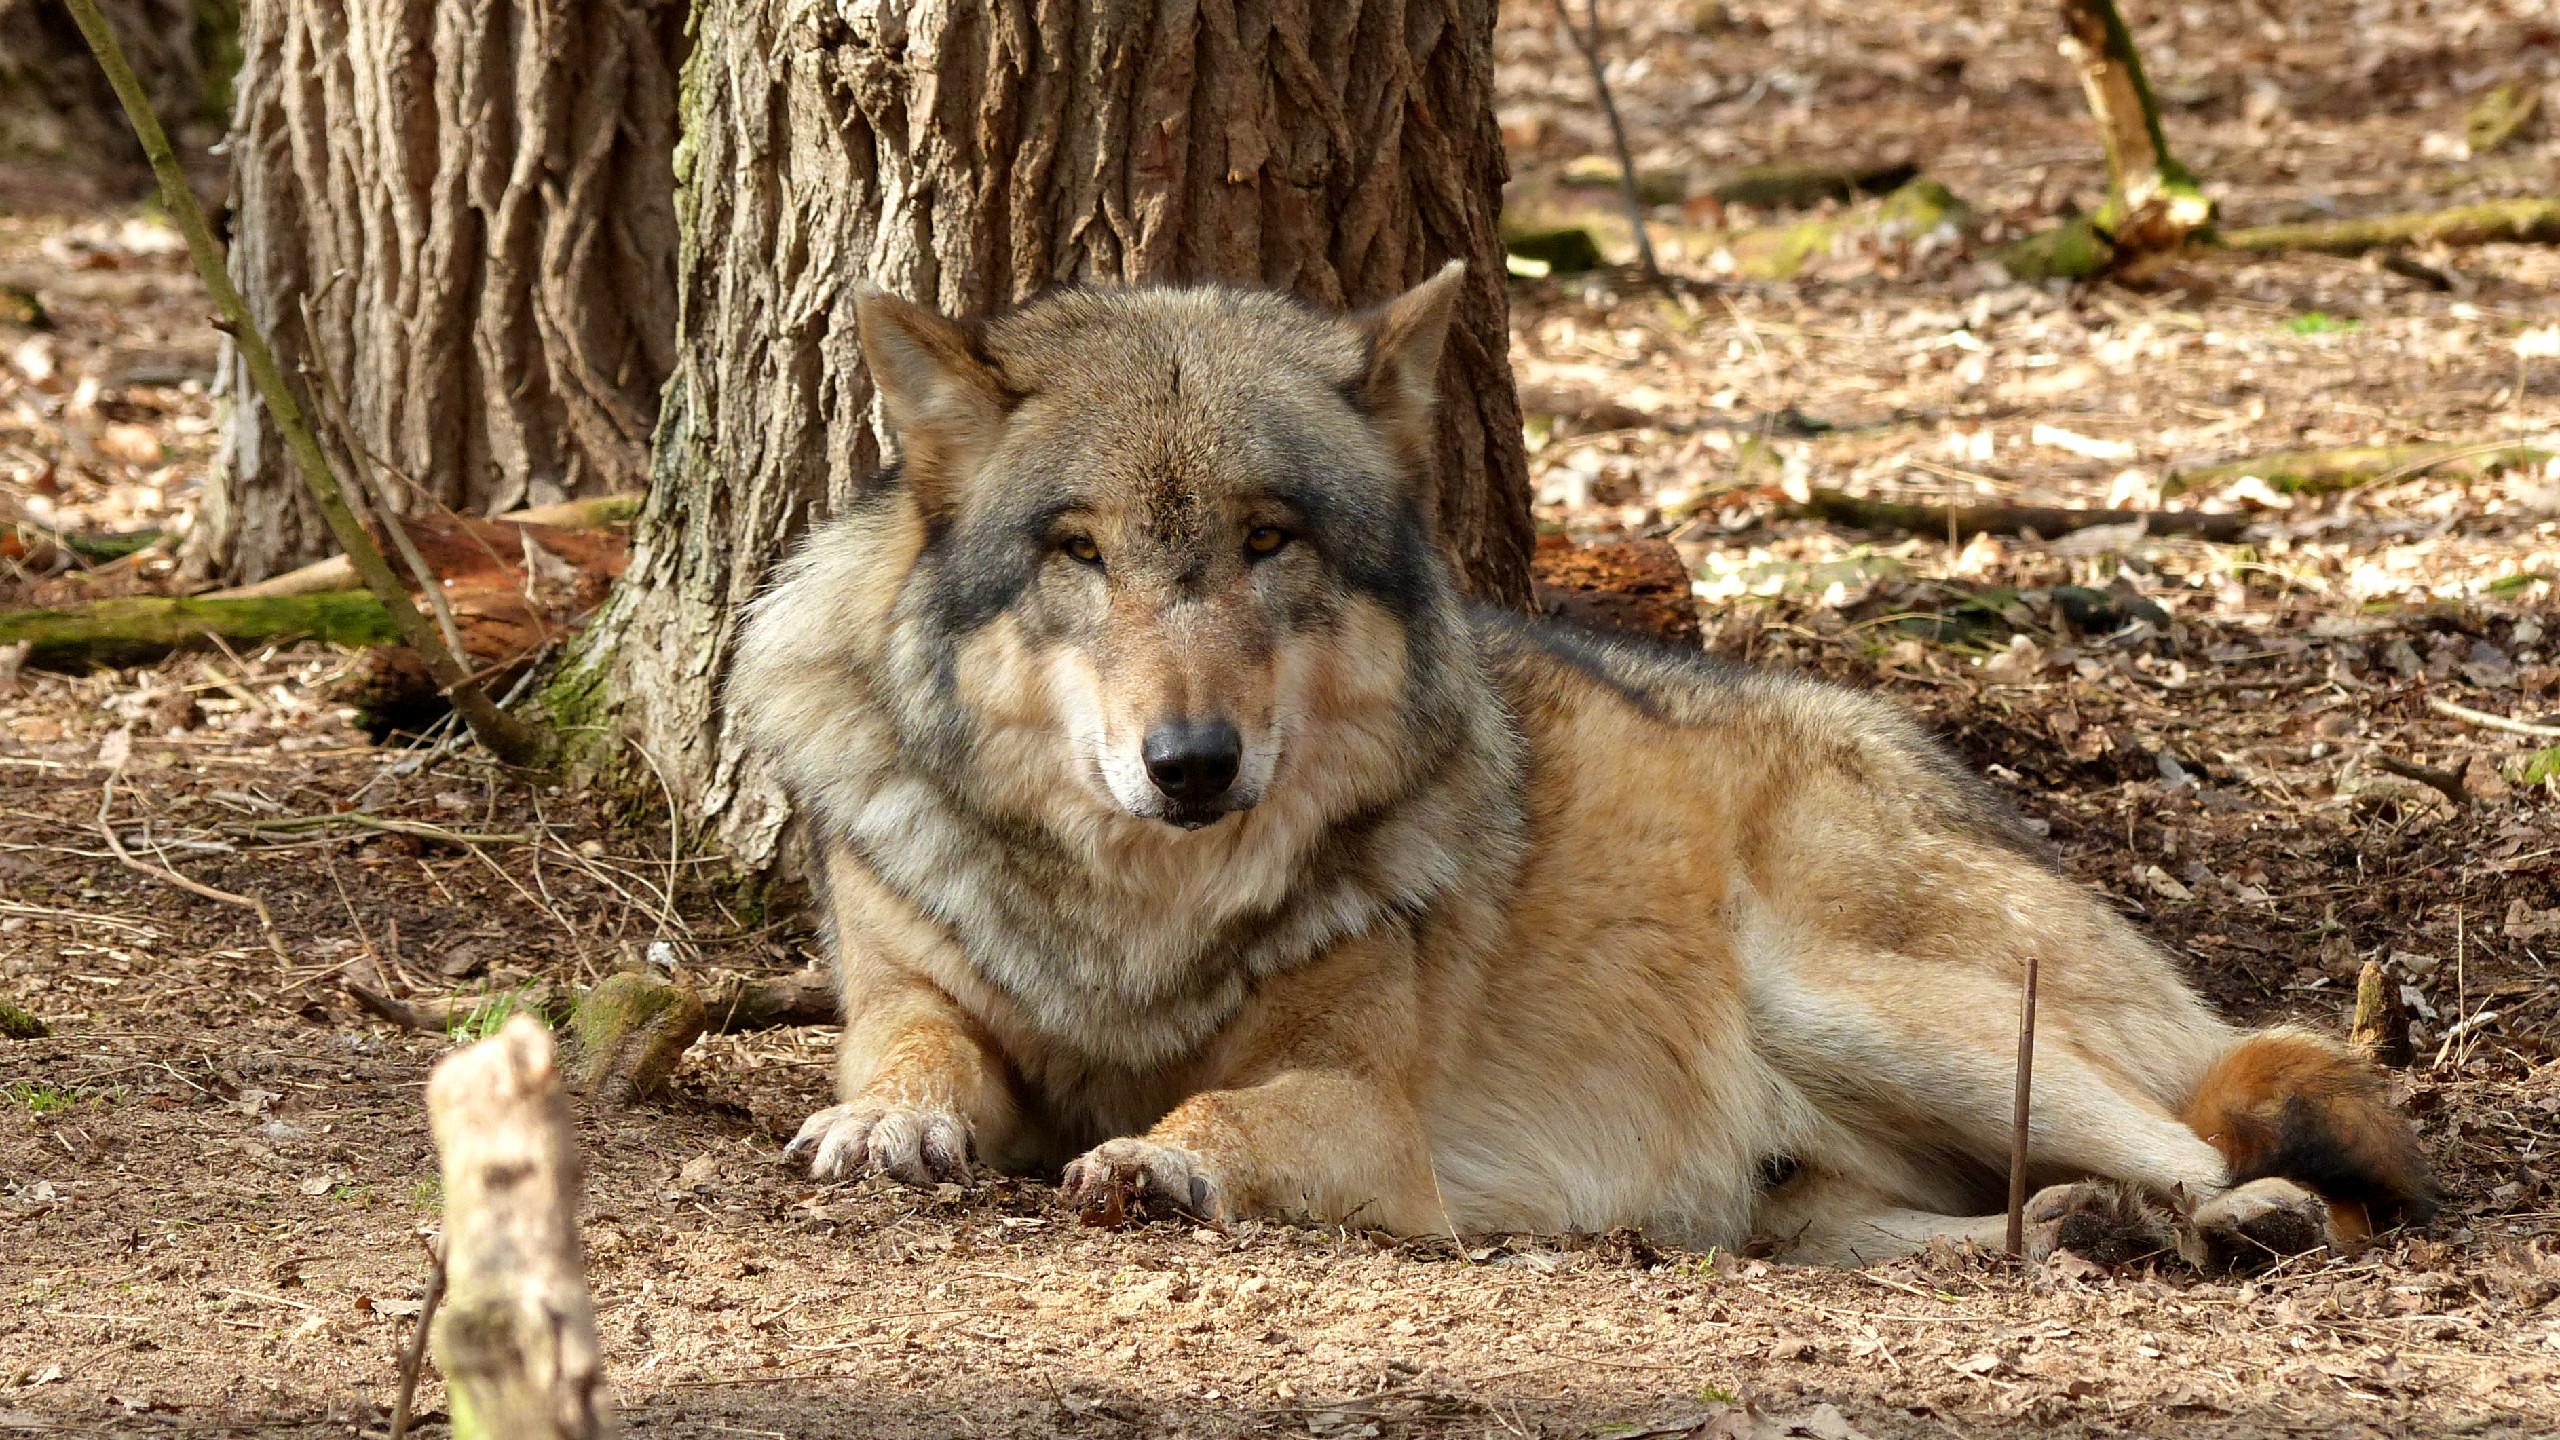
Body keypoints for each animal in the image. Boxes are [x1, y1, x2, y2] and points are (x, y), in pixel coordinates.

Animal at [729, 265, 2433, 1267]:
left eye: (1270, 540)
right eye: (1079, 552)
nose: (1192, 764)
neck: (1136, 931)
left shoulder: (1376, 1120)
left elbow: (1232, 1112)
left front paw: (1152, 1160)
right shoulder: (907, 991)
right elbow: (909, 1059)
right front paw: (886, 1129)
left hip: (1848, 999)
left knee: (2221, 1131)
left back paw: (2240, 1217)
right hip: (1805, 1191)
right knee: (1957, 1216)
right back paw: (2089, 1229)